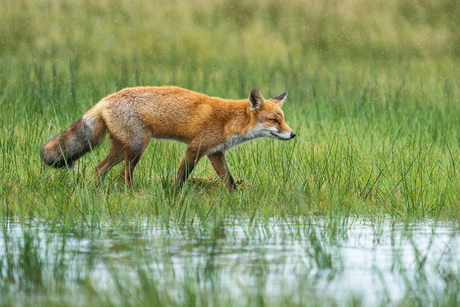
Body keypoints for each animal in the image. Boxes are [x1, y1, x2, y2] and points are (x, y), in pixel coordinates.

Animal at [42, 86, 294, 191]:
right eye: (274, 120)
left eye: (283, 119)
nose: (292, 134)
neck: (227, 121)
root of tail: (105, 99)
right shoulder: (195, 148)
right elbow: (182, 176)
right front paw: (175, 194)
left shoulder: (215, 153)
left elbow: (229, 180)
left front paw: (235, 196)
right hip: (137, 147)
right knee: (124, 175)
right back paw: (131, 195)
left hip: (121, 148)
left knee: (98, 169)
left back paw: (96, 193)